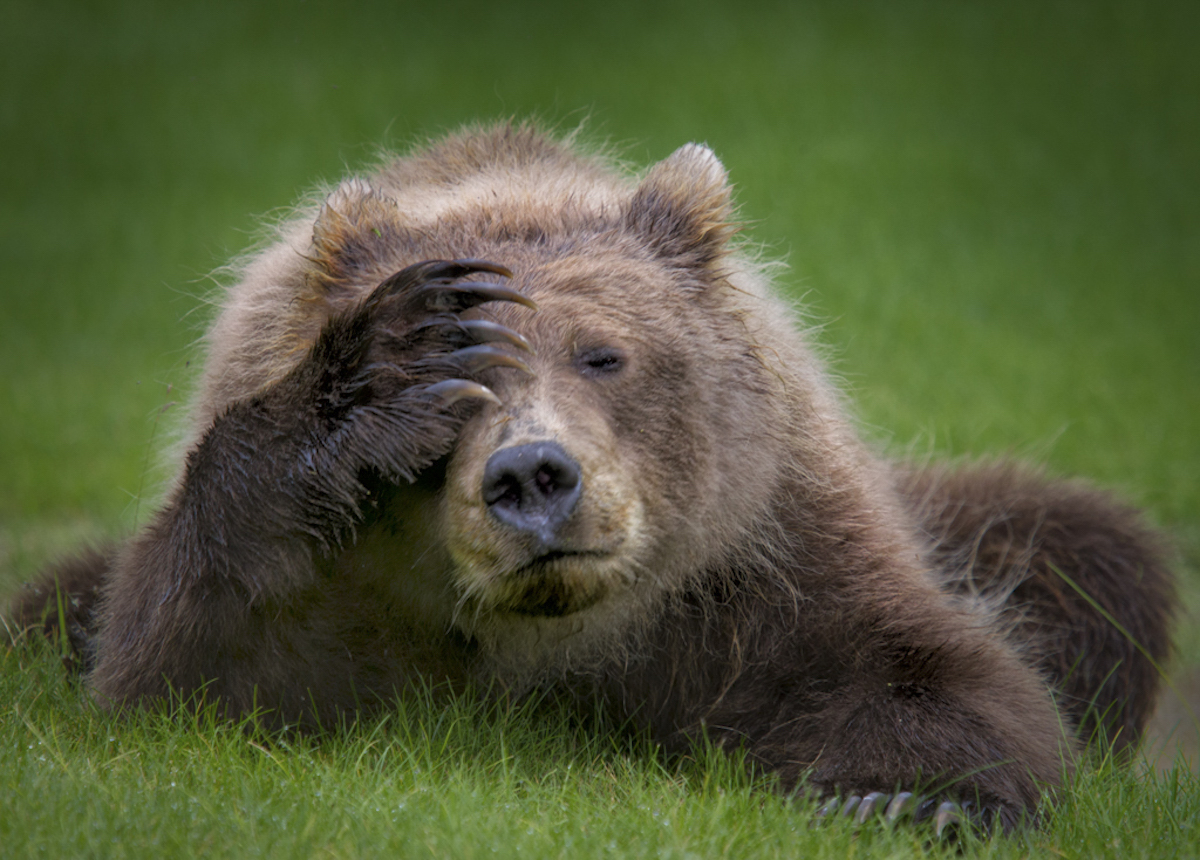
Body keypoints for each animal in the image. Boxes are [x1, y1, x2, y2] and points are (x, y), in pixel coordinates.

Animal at [7, 122, 1171, 830]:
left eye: (603, 354)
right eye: (463, 383)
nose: (532, 475)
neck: (549, 635)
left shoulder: (758, 554)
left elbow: (922, 669)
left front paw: (910, 799)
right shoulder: (335, 594)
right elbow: (185, 668)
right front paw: (375, 372)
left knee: (1093, 554)